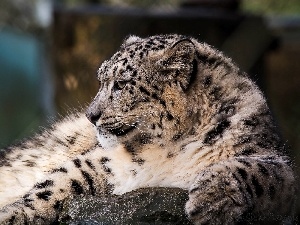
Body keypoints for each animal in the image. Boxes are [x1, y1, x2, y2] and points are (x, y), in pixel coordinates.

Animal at [0, 34, 296, 224]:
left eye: (121, 83)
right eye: (101, 80)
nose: (90, 115)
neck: (170, 148)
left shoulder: (276, 164)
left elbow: (252, 169)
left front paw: (210, 200)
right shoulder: (102, 160)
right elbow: (57, 182)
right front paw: (13, 214)